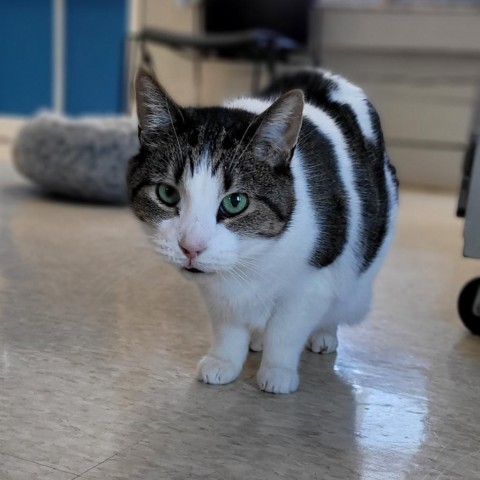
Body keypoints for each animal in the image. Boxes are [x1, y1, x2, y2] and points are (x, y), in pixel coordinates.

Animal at [127, 67, 398, 394]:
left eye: (235, 202)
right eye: (167, 194)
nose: (191, 247)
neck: (251, 260)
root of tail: (327, 75)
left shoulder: (311, 285)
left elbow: (286, 331)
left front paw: (277, 370)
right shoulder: (217, 291)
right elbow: (228, 326)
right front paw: (225, 361)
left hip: (357, 279)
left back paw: (323, 334)